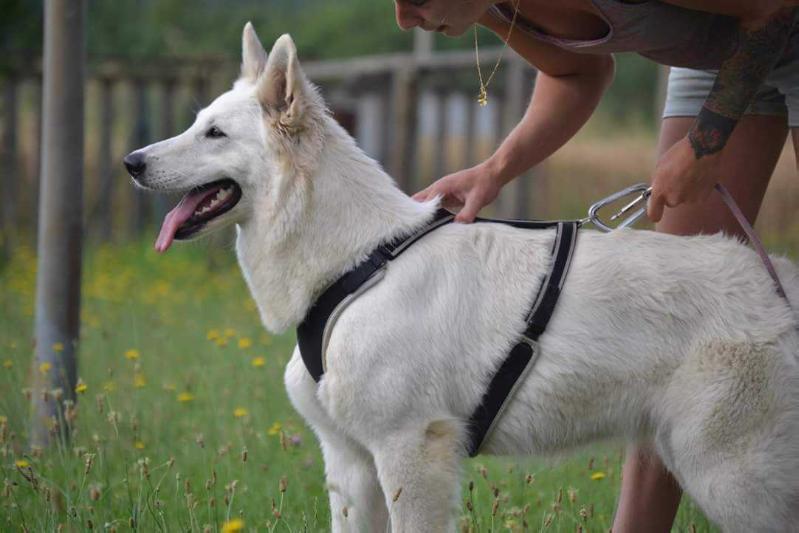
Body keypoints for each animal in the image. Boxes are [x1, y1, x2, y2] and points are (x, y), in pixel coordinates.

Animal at [126, 22, 799, 528]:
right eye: (196, 122)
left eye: (214, 133)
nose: (130, 162)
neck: (359, 263)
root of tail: (782, 283)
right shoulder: (349, 463)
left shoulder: (410, 453)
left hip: (728, 479)